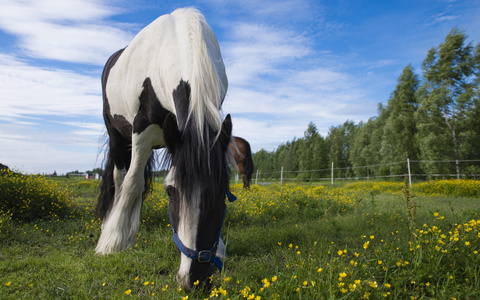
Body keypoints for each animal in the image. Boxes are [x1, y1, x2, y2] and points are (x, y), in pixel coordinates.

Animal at [94, 8, 233, 292]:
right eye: (170, 192)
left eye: (223, 191)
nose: (195, 279)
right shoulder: (141, 129)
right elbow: (132, 184)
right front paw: (112, 243)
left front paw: (220, 248)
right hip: (118, 136)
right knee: (121, 179)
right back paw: (114, 228)